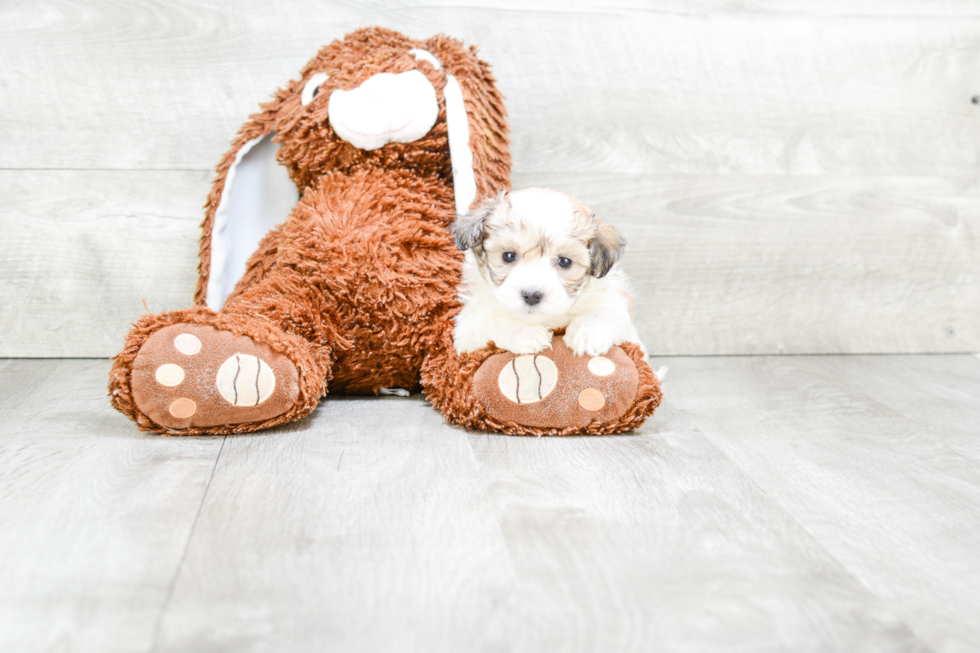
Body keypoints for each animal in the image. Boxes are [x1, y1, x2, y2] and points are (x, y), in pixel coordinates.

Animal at [452, 186, 644, 356]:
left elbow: (606, 310)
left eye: (565, 261)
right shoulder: (470, 326)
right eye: (508, 256)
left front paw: (588, 334)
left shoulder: (614, 302)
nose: (531, 295)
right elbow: (493, 321)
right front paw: (525, 333)